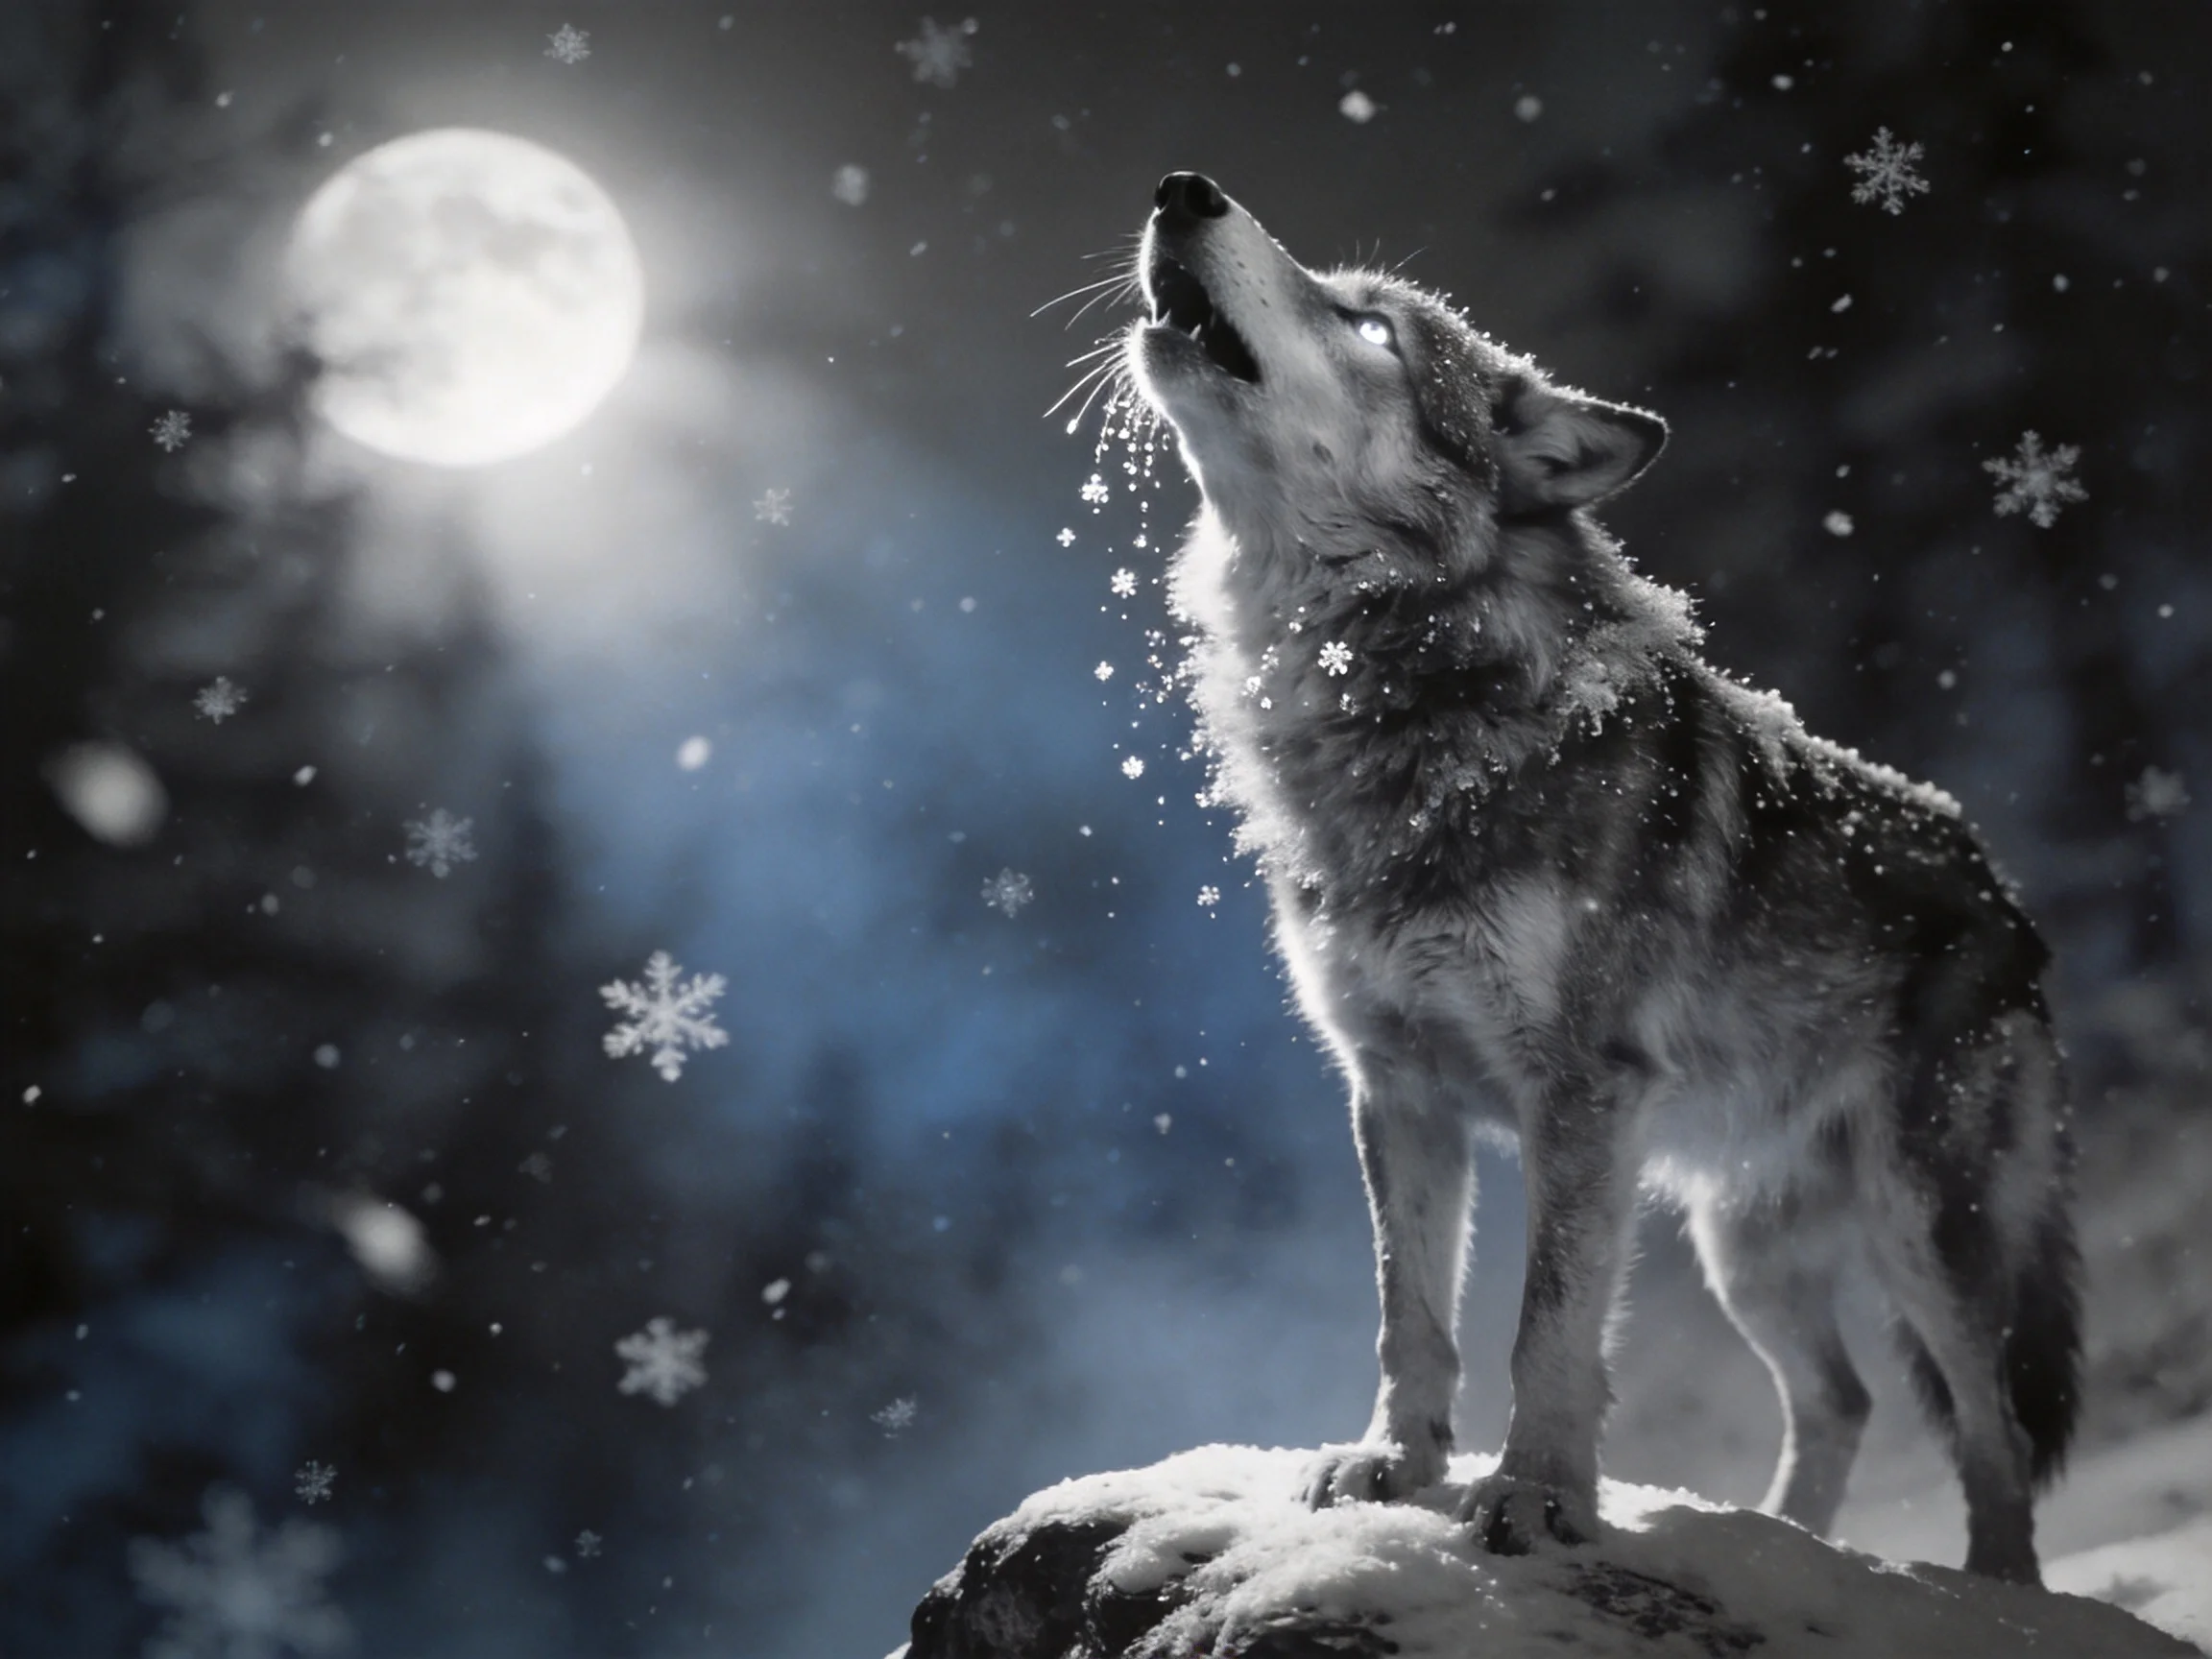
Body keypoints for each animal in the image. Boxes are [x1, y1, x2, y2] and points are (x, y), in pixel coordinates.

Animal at [1121, 172, 2080, 1583]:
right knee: (1841, 1399)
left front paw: (1534, 1500)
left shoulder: (1578, 1094)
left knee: (1987, 1416)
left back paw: (2000, 1589)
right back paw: (1779, 1546)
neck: (1405, 709)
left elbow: (1548, 1327)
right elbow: (1412, 1316)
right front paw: (1394, 1468)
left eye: (1373, 325)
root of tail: (2001, 880)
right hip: (1739, 1243)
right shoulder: (1395, 1088)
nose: (1184, 189)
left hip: (1918, 1226)